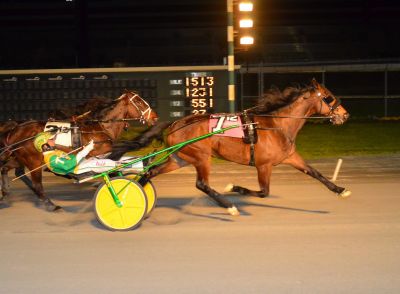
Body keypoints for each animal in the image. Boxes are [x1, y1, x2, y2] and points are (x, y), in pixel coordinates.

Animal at [0, 90, 157, 210]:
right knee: (37, 184)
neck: (100, 127)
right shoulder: (98, 152)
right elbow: (115, 154)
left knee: (6, 169)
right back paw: (50, 204)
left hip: (19, 158)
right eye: (139, 103)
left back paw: (6, 192)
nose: (155, 118)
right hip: (34, 161)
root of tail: (16, 129)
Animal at [139, 78, 352, 216]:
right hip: (201, 157)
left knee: (150, 172)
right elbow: (264, 192)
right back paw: (230, 207)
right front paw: (234, 187)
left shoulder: (291, 157)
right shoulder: (263, 165)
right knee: (201, 184)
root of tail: (176, 123)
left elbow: (315, 173)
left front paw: (340, 190)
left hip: (180, 158)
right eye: (329, 97)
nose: (345, 115)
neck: (277, 125)